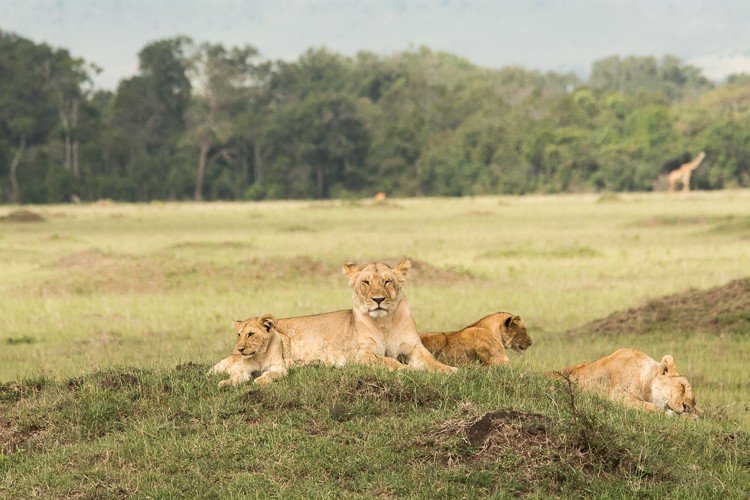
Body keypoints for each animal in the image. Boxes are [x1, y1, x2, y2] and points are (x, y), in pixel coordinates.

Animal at [212, 260, 458, 384]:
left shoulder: (414, 347)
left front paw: (449, 370)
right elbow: (389, 361)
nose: (378, 300)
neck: (384, 321)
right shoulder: (361, 355)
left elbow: (431, 360)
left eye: (387, 282)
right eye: (366, 282)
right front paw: (407, 369)